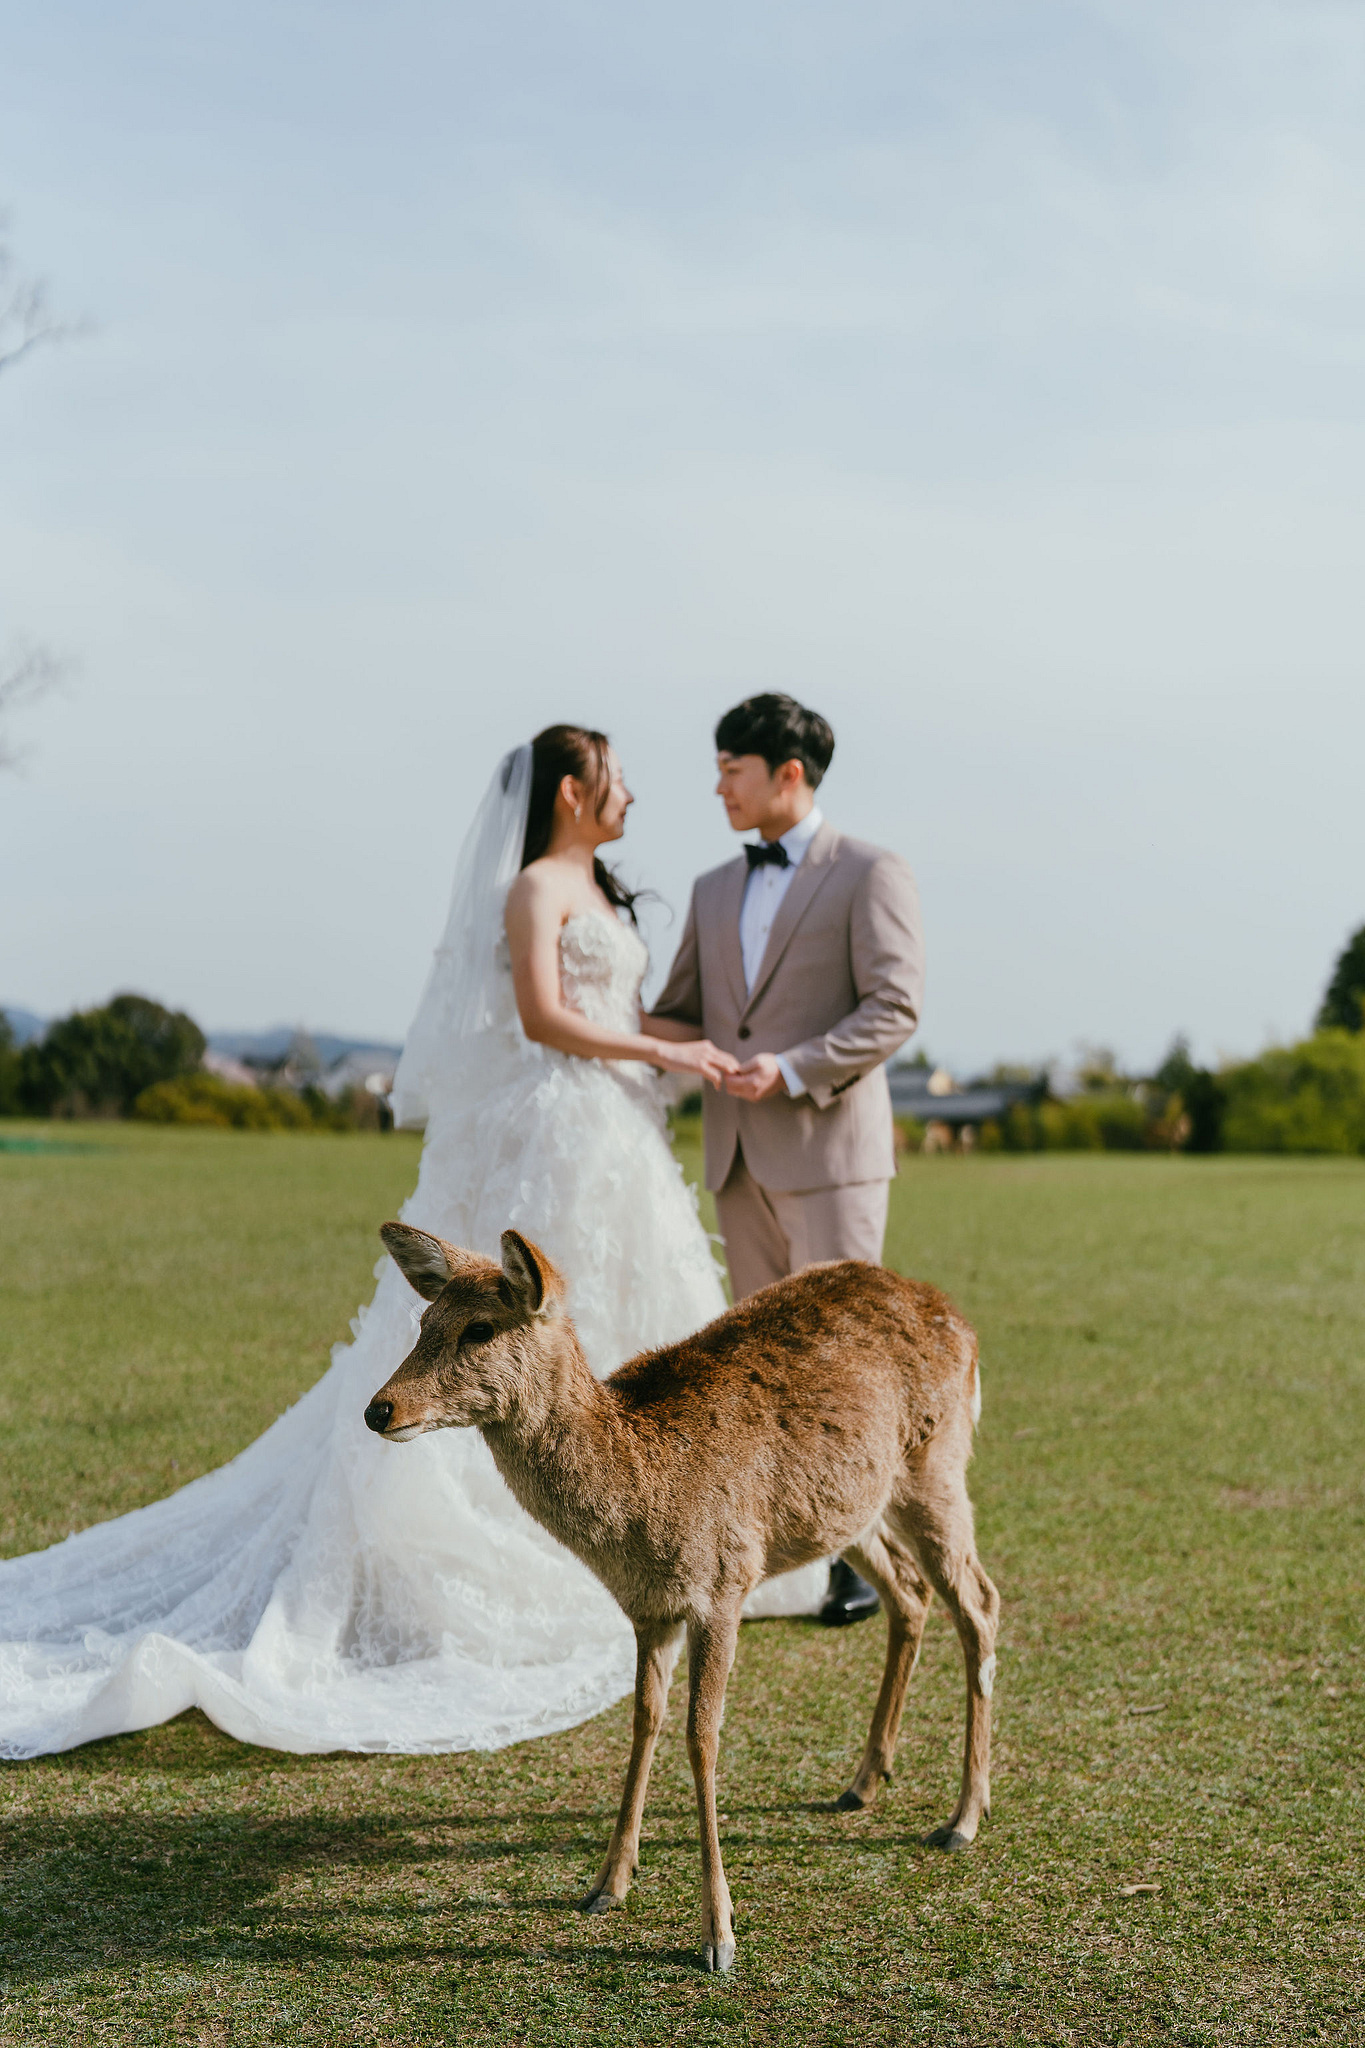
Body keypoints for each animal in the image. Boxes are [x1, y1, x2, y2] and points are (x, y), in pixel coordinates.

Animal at [364, 1222, 1000, 1975]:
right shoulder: (648, 1608)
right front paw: (607, 1883)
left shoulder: (723, 1583)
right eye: (423, 1321)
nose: (378, 1408)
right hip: (850, 1511)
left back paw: (963, 1818)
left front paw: (718, 1935)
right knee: (910, 1593)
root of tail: (958, 1316)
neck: (640, 1506)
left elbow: (702, 1735)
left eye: (480, 1328)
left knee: (980, 1601)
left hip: (936, 1468)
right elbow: (644, 1720)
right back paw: (864, 1781)